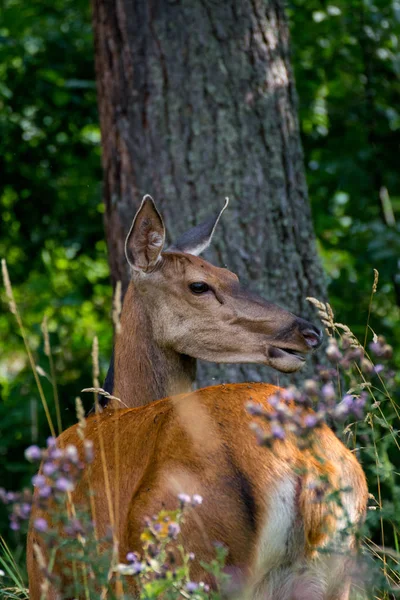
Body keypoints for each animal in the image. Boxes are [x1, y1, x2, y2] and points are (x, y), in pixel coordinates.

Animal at [26, 198, 368, 600]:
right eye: (200, 285)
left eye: (231, 275)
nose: (309, 332)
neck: (110, 407)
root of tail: (306, 469)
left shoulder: (43, 575)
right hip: (333, 574)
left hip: (182, 562)